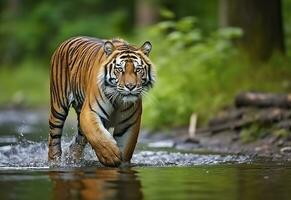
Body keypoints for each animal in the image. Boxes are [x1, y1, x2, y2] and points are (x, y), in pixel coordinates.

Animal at [49, 36, 156, 166]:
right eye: (120, 69)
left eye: (138, 70)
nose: (130, 86)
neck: (118, 99)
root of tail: (68, 40)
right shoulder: (90, 112)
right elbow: (97, 136)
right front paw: (111, 155)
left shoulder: (129, 123)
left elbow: (126, 148)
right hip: (58, 107)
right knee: (54, 137)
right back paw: (54, 161)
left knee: (78, 141)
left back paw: (73, 158)